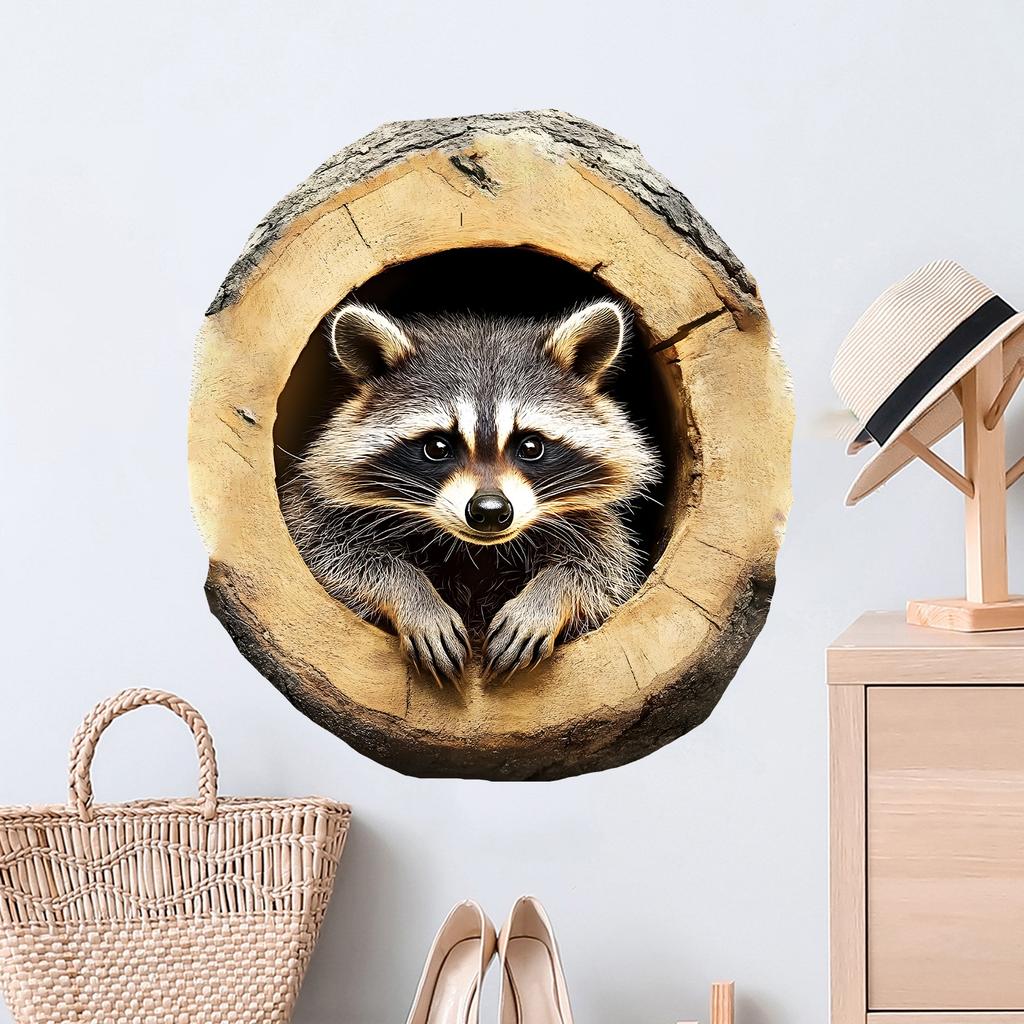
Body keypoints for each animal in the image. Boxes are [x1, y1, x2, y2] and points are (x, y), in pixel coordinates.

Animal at [280, 299, 660, 686]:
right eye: (437, 447)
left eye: (531, 446)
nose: (490, 510)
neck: (477, 550)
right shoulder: (317, 512)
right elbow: (333, 555)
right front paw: (414, 595)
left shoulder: (593, 524)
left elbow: (601, 571)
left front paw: (546, 597)